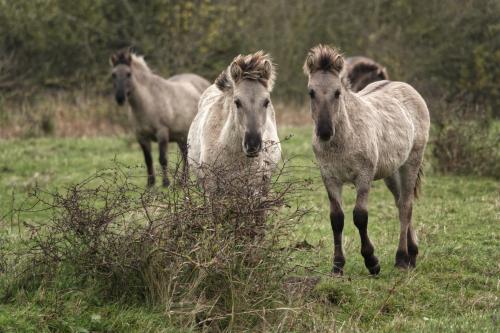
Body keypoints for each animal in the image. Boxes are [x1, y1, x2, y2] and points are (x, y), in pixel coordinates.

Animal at [110, 48, 210, 185]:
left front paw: (166, 183)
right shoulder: (141, 137)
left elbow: (162, 158)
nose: (120, 98)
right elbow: (148, 160)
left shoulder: (162, 133)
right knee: (185, 155)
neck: (148, 102)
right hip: (182, 136)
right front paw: (150, 184)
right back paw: (182, 181)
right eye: (113, 74)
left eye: (128, 74)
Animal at [302, 44, 432, 274]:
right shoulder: (329, 177)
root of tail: (407, 88)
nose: (324, 132)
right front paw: (338, 265)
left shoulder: (364, 176)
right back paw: (412, 254)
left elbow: (360, 216)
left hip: (411, 162)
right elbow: (336, 218)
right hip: (392, 171)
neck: (344, 137)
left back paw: (402, 258)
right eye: (311, 92)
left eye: (337, 92)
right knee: (400, 202)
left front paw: (371, 261)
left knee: (406, 206)